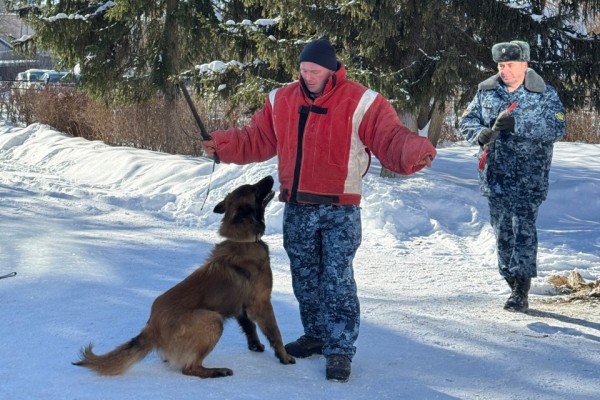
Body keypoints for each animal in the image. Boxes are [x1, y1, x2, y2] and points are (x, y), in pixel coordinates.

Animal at [73, 175, 295, 378]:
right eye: (254, 189)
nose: (271, 176)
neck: (242, 241)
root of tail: (151, 329)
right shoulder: (262, 303)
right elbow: (275, 333)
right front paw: (284, 357)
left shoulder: (242, 307)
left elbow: (250, 328)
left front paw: (256, 346)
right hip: (212, 319)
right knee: (189, 368)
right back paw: (217, 371)